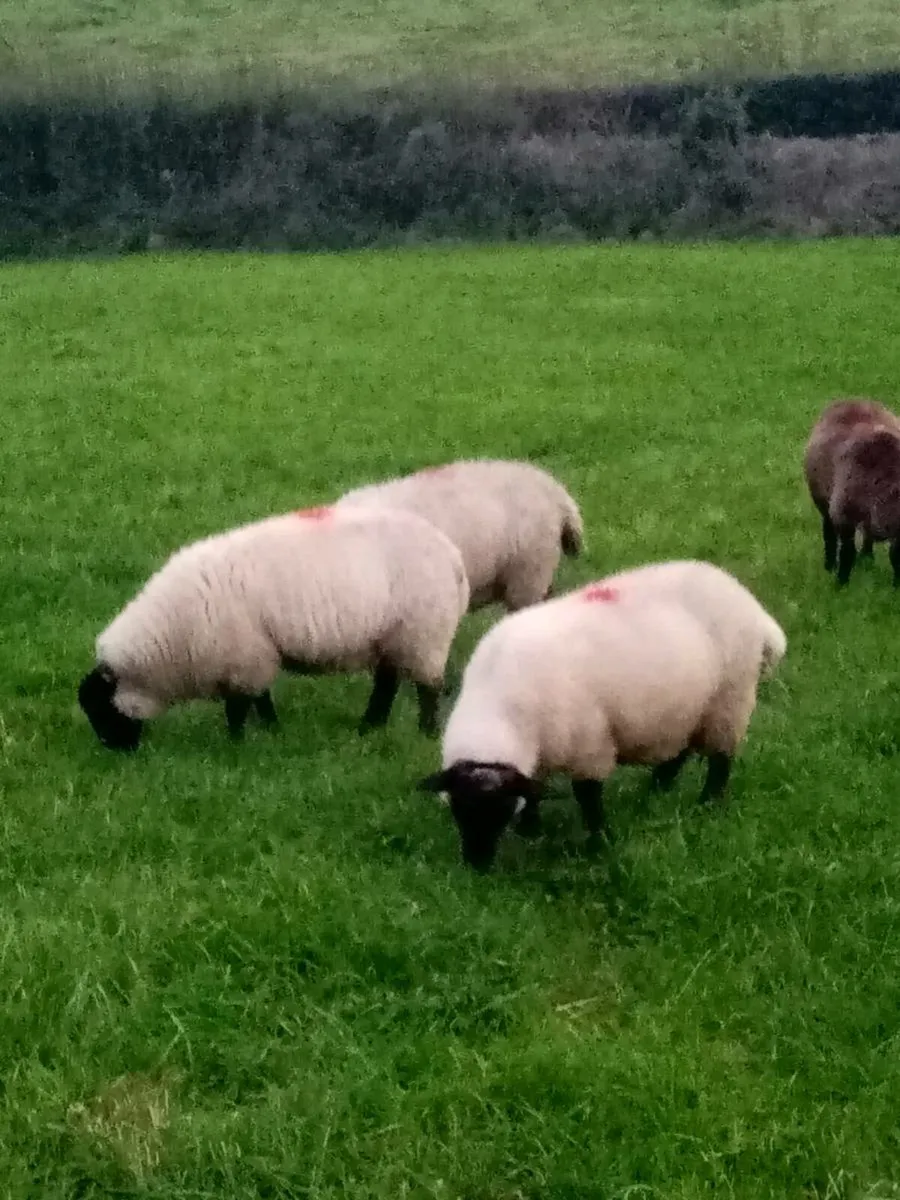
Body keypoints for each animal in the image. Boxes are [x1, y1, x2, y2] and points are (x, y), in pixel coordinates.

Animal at [77, 504, 470, 752]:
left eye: (101, 708)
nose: (115, 751)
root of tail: (453, 557)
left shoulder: (244, 656)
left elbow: (239, 706)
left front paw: (236, 742)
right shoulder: (255, 655)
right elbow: (260, 698)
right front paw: (271, 730)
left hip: (424, 632)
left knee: (428, 688)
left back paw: (425, 731)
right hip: (394, 636)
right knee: (387, 684)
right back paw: (369, 726)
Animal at [419, 559, 786, 872]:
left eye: (499, 810)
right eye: (458, 808)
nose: (476, 865)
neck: (499, 708)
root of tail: (750, 605)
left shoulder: (589, 744)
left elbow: (587, 796)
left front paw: (599, 841)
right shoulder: (541, 752)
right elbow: (534, 789)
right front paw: (531, 829)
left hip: (730, 699)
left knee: (721, 760)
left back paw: (706, 804)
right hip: (686, 707)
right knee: (679, 751)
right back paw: (656, 789)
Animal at [803, 397, 900, 585]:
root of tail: (851, 400)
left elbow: (895, 556)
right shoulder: (843, 514)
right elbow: (847, 553)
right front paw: (841, 584)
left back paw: (867, 558)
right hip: (823, 499)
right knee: (829, 532)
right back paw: (829, 565)